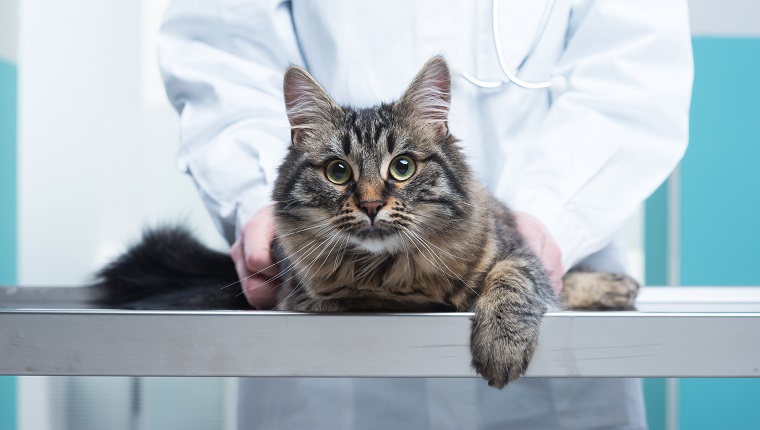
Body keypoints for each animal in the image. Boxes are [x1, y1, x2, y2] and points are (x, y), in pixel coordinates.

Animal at [96, 55, 640, 388]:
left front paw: (502, 342)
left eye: (402, 167)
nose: (374, 204)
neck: (392, 272)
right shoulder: (321, 295)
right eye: (338, 172)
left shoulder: (513, 248)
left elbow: (515, 280)